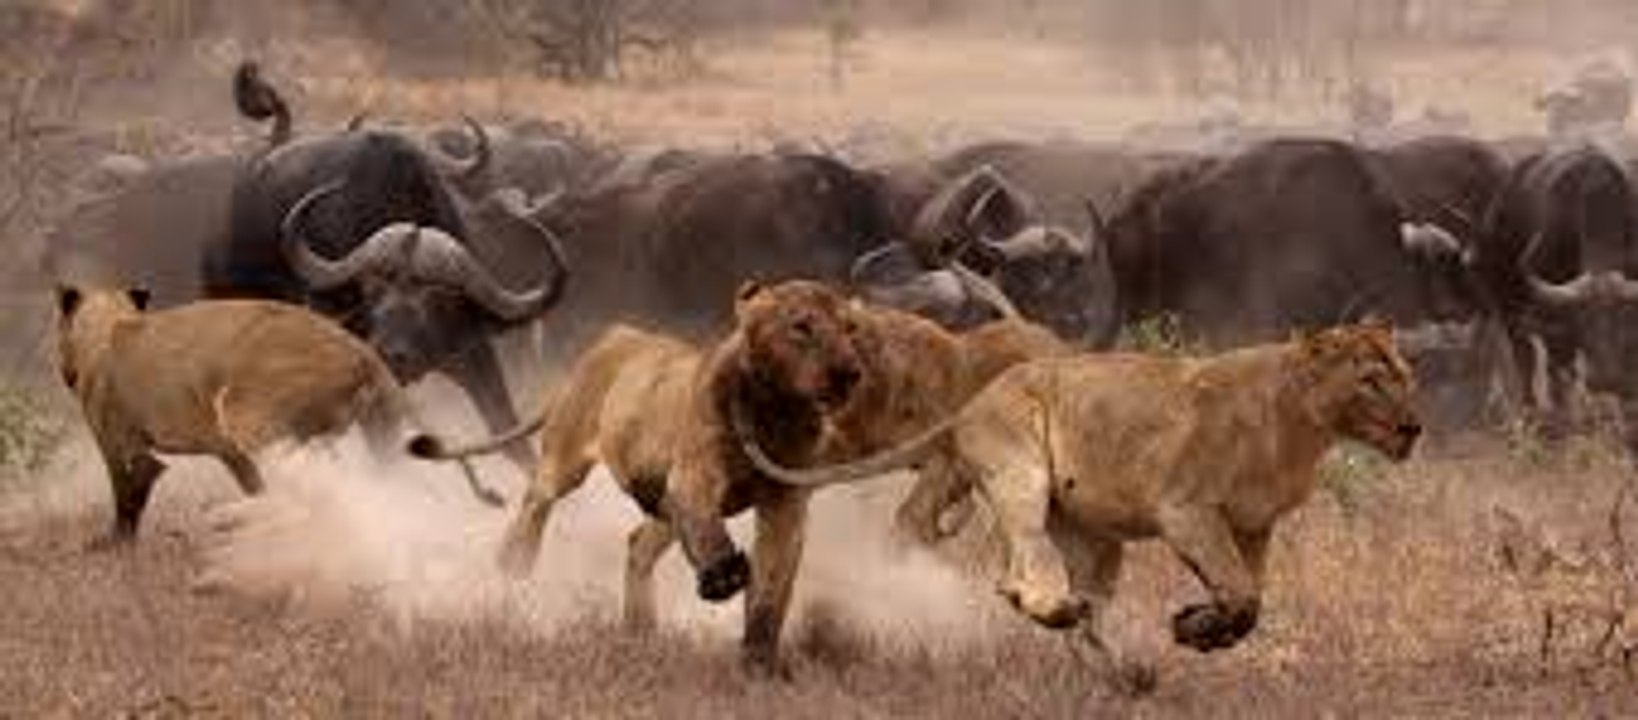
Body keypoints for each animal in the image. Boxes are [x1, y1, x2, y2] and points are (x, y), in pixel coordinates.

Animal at [53, 284, 492, 547]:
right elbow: (253, 485)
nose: (64, 374)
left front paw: (111, 547)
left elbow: (127, 495)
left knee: (311, 491)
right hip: (375, 433)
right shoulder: (227, 451)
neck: (111, 325)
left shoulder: (120, 442)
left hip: (249, 414)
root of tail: (363, 351)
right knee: (385, 489)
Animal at [740, 320, 1422, 685]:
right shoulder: (1186, 511)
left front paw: (1199, 629)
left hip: (1097, 539)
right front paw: (1199, 628)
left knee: (1088, 615)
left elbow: (1247, 597)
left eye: (1405, 374)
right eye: (1371, 379)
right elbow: (1241, 592)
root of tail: (972, 400)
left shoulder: (1254, 527)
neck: (1303, 429)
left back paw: (1127, 676)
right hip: (1020, 476)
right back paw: (1048, 608)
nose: (1414, 427)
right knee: (1020, 567)